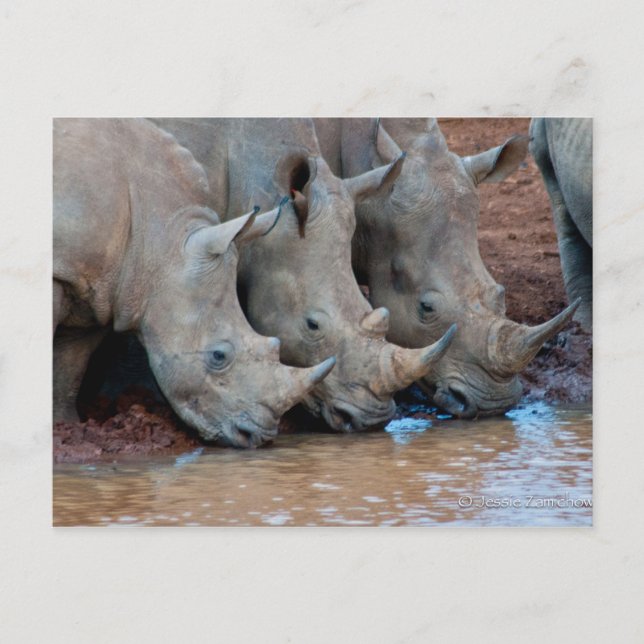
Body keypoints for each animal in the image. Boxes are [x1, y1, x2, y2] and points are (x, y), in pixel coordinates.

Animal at [53, 118, 335, 448]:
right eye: (218, 356)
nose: (258, 436)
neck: (158, 243)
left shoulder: (96, 285)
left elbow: (69, 366)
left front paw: (64, 424)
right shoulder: (62, 269)